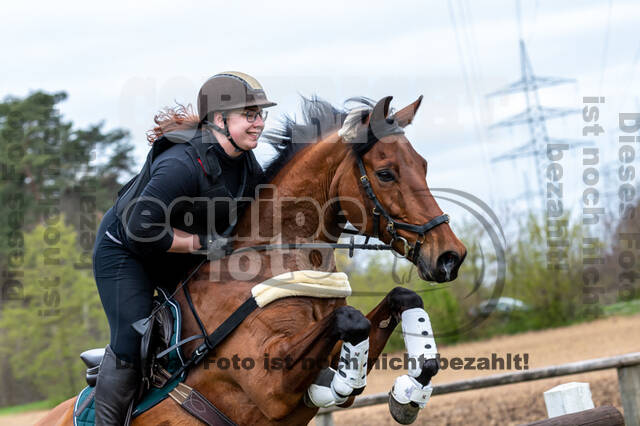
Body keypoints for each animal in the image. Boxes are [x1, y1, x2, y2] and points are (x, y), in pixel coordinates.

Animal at [37, 95, 464, 426]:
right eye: (386, 173)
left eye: (423, 165)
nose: (450, 256)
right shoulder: (269, 384)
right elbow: (351, 321)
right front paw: (341, 383)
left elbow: (403, 298)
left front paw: (409, 393)